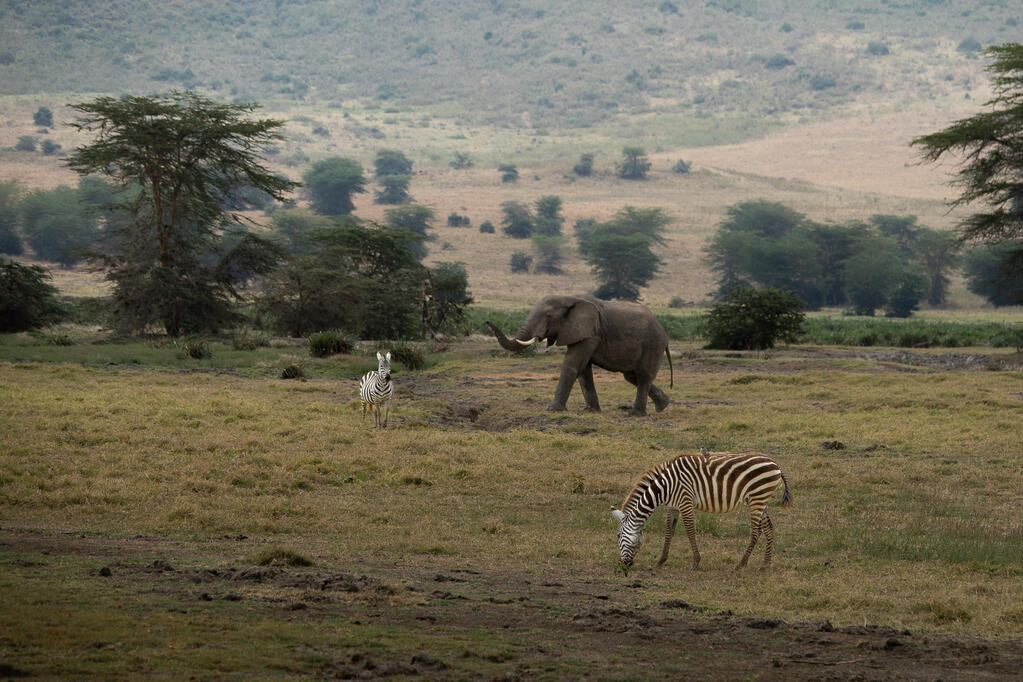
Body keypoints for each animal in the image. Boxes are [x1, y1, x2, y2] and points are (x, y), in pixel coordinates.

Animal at [487, 294, 673, 416]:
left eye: (548, 316)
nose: (487, 322)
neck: (569, 298)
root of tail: (664, 333)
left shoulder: (590, 333)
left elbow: (572, 364)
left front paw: (552, 409)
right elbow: (583, 370)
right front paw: (591, 411)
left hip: (652, 345)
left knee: (643, 376)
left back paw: (636, 414)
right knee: (631, 376)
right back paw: (663, 406)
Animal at [612, 450, 791, 572]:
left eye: (618, 536)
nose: (622, 565)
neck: (664, 487)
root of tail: (775, 464)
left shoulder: (685, 501)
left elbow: (690, 531)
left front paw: (696, 562)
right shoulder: (673, 506)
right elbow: (669, 531)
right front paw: (661, 561)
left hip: (757, 498)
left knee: (756, 532)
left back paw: (741, 564)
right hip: (761, 500)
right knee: (769, 528)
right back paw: (765, 565)